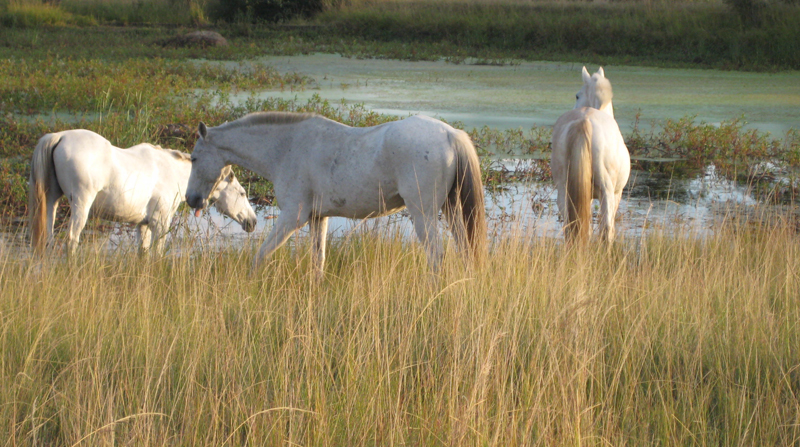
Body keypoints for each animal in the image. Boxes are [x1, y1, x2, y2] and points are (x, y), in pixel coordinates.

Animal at [29, 129, 258, 254]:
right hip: (81, 204)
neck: (173, 172)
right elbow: (157, 252)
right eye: (242, 193)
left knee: (48, 238)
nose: (252, 222)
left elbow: (144, 253)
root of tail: (59, 137)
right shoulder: (160, 222)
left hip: (51, 201)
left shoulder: (144, 224)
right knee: (71, 239)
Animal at [185, 112, 486, 274]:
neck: (285, 148)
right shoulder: (319, 218)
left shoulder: (292, 218)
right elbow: (318, 261)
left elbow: (260, 256)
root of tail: (449, 134)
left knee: (436, 256)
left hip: (423, 214)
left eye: (194, 158)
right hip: (451, 209)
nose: (191, 199)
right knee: (465, 250)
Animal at [551, 66, 631, 244]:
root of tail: (584, 119)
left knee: (570, 226)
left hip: (564, 191)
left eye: (577, 95)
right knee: (606, 229)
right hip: (607, 192)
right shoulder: (616, 194)